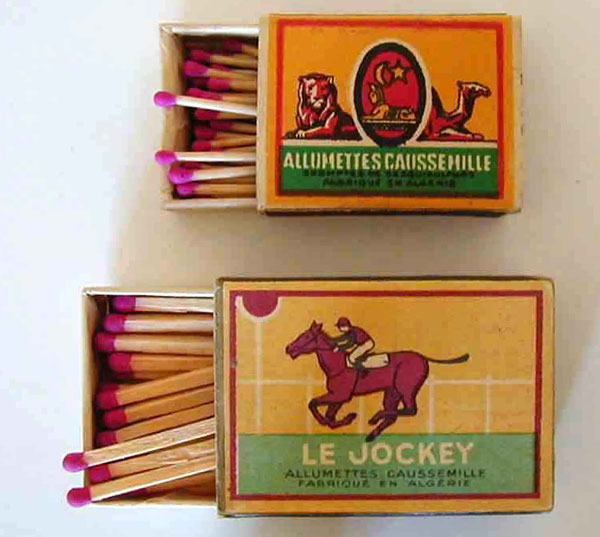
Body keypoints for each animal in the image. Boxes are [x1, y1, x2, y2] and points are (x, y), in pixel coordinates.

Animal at [285, 321, 469, 442]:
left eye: (306, 336)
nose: (288, 348)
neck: (338, 364)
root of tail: (422, 357)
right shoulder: (339, 396)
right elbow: (329, 416)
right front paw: (348, 418)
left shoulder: (340, 395)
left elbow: (313, 404)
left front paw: (343, 418)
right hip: (392, 392)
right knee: (394, 414)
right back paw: (372, 433)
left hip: (406, 389)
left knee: (410, 410)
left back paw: (375, 417)